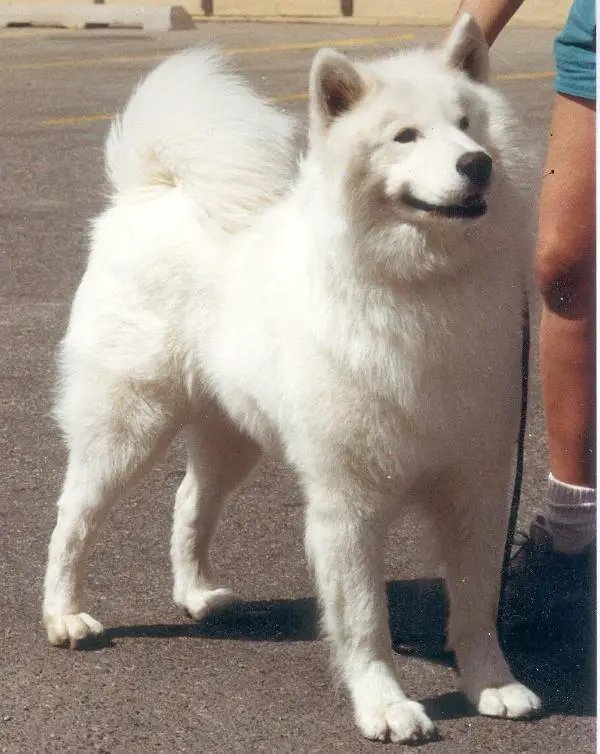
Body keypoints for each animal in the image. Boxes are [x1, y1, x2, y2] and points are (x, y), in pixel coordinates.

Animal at [42, 16, 540, 740]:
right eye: (405, 136)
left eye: (467, 124)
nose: (477, 163)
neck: (419, 290)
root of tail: (152, 190)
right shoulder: (348, 503)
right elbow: (365, 620)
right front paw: (385, 705)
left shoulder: (475, 484)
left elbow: (476, 604)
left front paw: (493, 685)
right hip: (128, 429)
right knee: (73, 519)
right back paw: (64, 616)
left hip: (231, 437)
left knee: (188, 503)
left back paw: (195, 593)